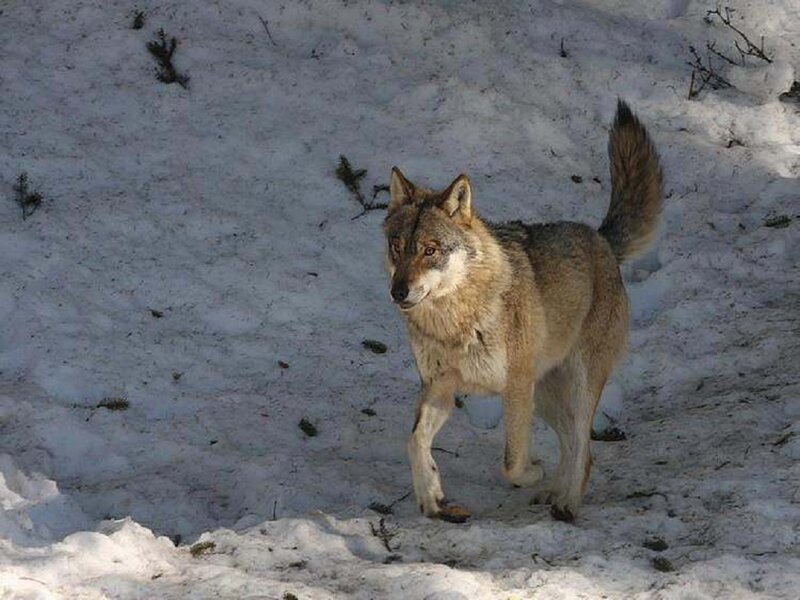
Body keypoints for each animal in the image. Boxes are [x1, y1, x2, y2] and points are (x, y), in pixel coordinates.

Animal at [383, 101, 662, 523]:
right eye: (397, 248)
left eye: (430, 250)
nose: (399, 291)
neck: (456, 322)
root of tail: (602, 240)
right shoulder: (439, 387)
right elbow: (414, 442)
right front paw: (431, 496)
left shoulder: (515, 388)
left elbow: (511, 463)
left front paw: (532, 471)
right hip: (545, 394)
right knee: (575, 446)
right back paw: (555, 494)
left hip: (574, 386)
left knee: (583, 447)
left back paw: (566, 503)